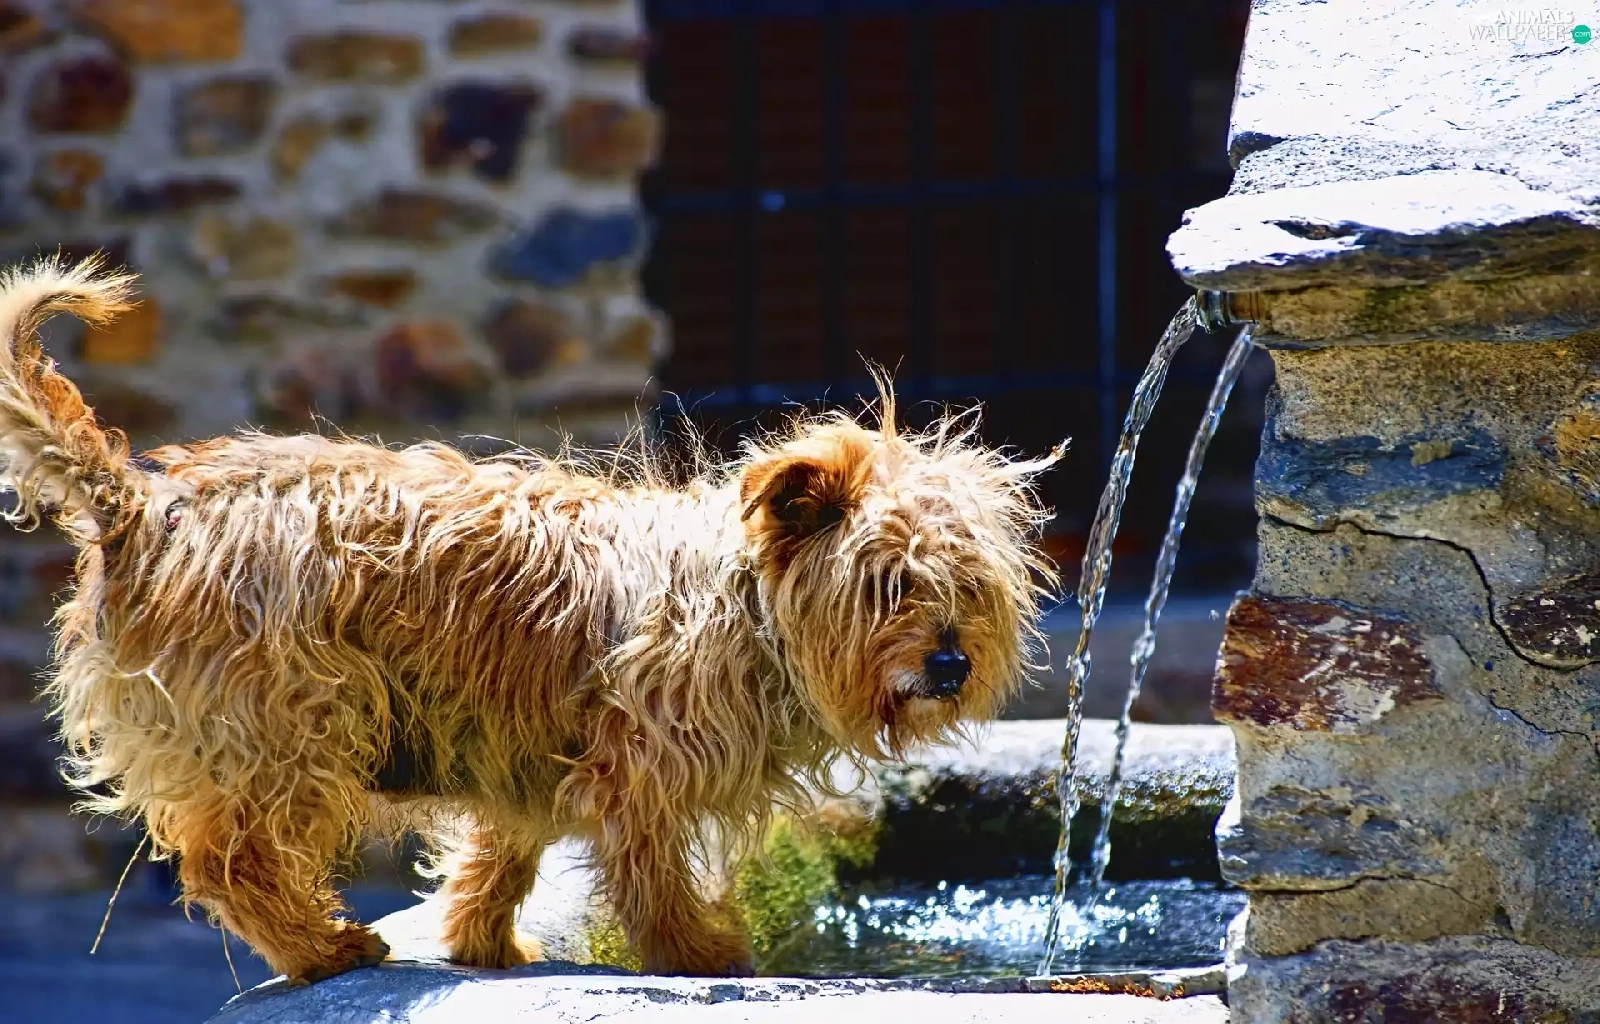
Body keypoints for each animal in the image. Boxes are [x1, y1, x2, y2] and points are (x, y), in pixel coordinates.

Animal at [0, 257, 1061, 982]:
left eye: (969, 588)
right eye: (889, 585)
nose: (952, 666)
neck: (746, 603)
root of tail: (143, 506)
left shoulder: (519, 755)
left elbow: (498, 860)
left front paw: (481, 944)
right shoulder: (641, 764)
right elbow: (650, 872)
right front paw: (699, 955)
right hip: (290, 719)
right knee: (231, 858)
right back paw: (323, 948)